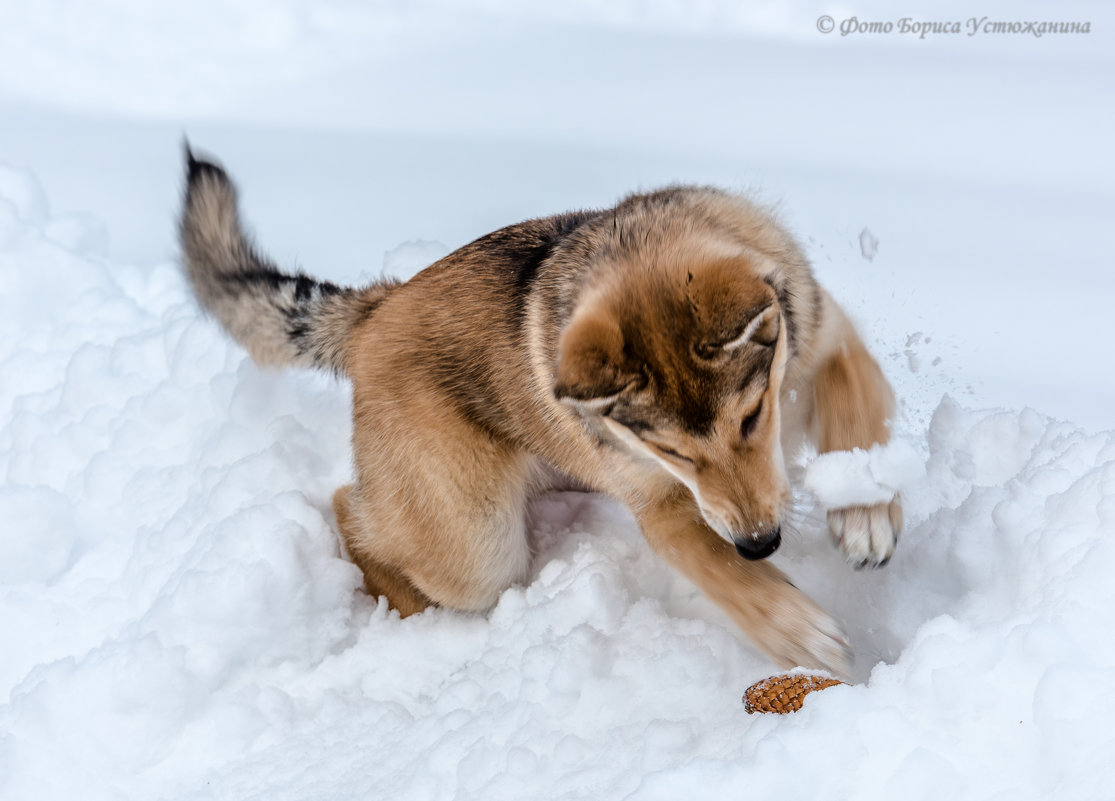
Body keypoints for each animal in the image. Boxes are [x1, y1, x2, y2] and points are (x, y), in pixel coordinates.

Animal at [178, 146, 900, 678]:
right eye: (672, 452)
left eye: (750, 419)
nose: (762, 543)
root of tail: (373, 311)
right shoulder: (664, 507)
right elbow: (722, 571)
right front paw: (797, 630)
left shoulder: (826, 339)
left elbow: (856, 411)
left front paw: (863, 509)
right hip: (476, 545)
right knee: (349, 511)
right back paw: (416, 616)